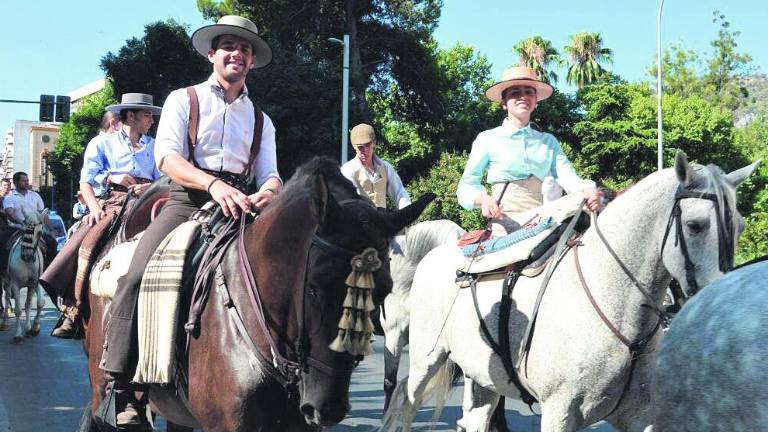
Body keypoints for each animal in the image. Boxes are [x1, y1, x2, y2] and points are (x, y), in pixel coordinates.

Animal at [0, 210, 46, 344]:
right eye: (24, 229)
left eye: (39, 232)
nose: (27, 255)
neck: (27, 262)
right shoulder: (15, 284)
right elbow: (18, 309)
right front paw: (18, 334)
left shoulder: (34, 283)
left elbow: (34, 304)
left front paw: (33, 328)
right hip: (6, 280)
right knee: (7, 296)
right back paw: (4, 321)